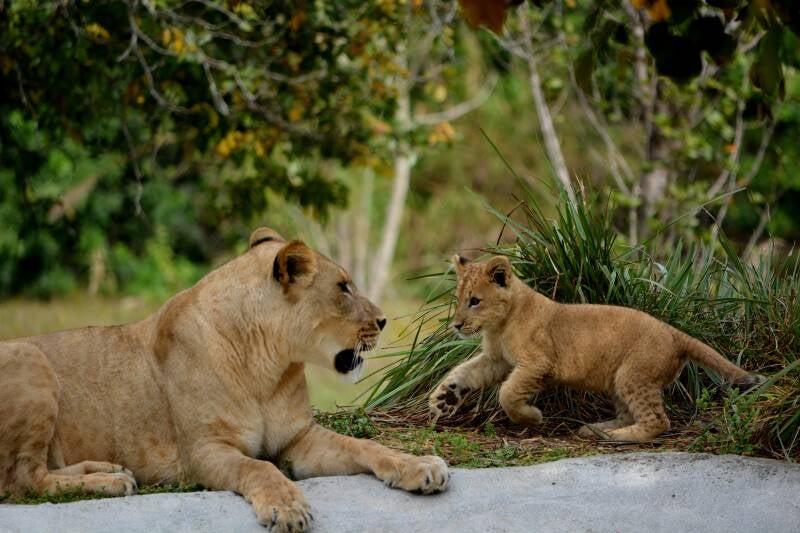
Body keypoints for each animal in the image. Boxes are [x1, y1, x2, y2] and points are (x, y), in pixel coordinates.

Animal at [0, 228, 449, 531]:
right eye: (342, 288)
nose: (384, 320)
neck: (269, 365)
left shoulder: (297, 439)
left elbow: (366, 446)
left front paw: (421, 466)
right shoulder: (204, 450)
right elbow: (259, 468)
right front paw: (287, 506)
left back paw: (109, 468)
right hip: (30, 357)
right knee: (25, 480)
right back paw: (111, 482)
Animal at [429, 254, 762, 442]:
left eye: (475, 301)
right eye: (458, 300)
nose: (456, 325)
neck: (499, 325)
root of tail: (674, 332)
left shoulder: (538, 363)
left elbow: (507, 394)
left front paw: (532, 417)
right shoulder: (497, 360)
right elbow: (463, 373)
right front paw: (443, 400)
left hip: (634, 374)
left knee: (658, 421)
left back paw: (615, 438)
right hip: (618, 380)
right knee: (630, 415)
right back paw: (597, 430)